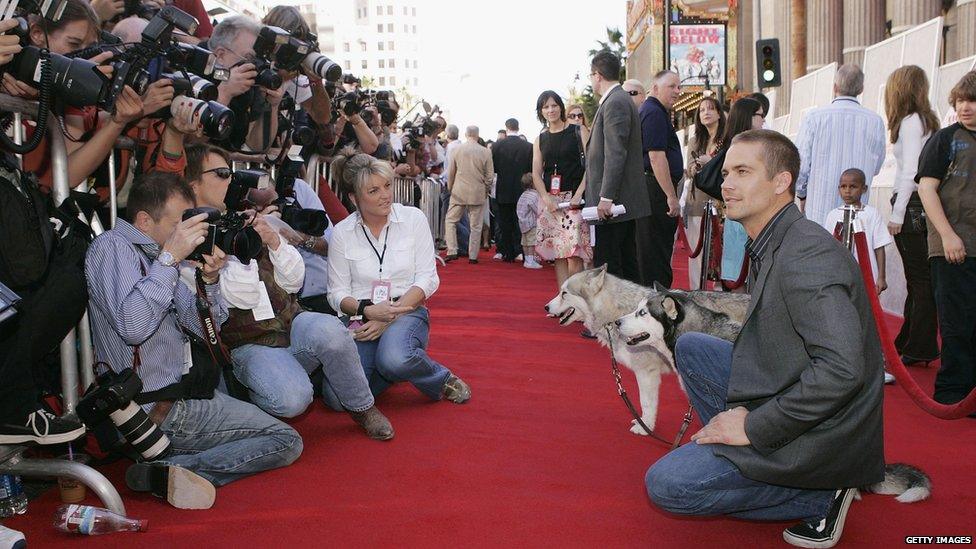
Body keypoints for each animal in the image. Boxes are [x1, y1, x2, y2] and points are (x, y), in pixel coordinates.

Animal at [540, 268, 672, 434]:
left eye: (564, 293)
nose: (546, 307)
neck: (617, 313)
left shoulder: (646, 372)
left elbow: (646, 403)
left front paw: (645, 428)